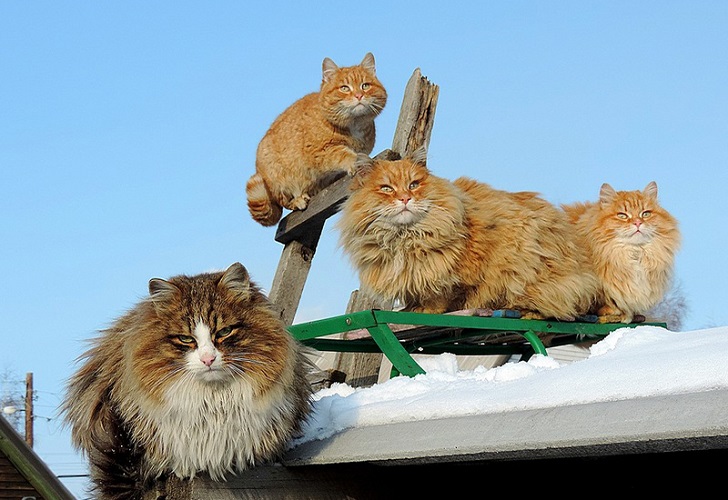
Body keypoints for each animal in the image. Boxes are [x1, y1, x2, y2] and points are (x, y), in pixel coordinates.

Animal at [246, 52, 386, 227]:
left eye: (365, 86)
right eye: (344, 88)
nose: (359, 95)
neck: (354, 125)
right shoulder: (321, 151)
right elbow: (344, 154)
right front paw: (354, 161)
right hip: (277, 178)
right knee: (285, 202)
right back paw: (298, 200)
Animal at [336, 148, 596, 320]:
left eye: (414, 185)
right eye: (386, 189)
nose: (405, 199)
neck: (406, 239)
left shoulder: (458, 274)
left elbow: (443, 295)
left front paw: (428, 309)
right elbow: (416, 294)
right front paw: (413, 308)